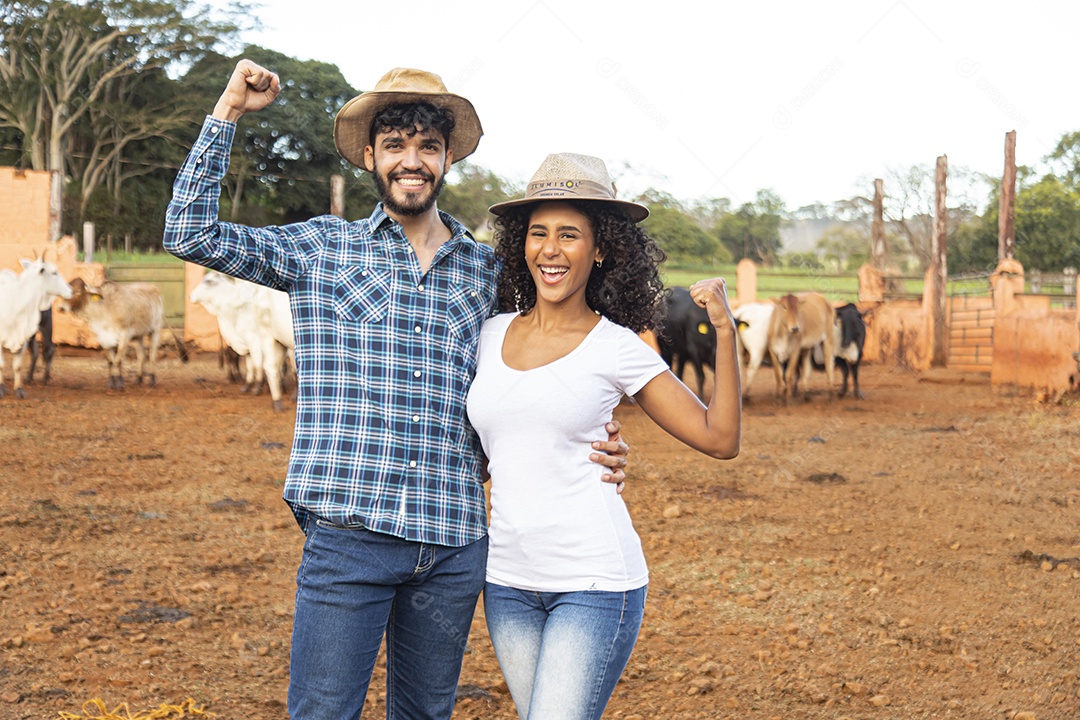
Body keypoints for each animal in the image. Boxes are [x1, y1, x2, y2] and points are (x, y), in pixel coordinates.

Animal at [0, 255, 73, 399]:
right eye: (54, 272)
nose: (70, 290)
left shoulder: (22, 336)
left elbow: (16, 365)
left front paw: (18, 389)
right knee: (37, 351)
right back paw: (31, 377)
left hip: (45, 327)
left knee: (47, 350)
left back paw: (43, 378)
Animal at [61, 278, 189, 388]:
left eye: (77, 291)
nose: (61, 308)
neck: (104, 309)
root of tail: (153, 287)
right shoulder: (103, 338)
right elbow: (111, 361)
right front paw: (111, 383)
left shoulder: (124, 336)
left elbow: (118, 361)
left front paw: (120, 384)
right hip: (138, 336)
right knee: (141, 355)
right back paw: (139, 379)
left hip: (155, 330)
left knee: (152, 355)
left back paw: (152, 380)